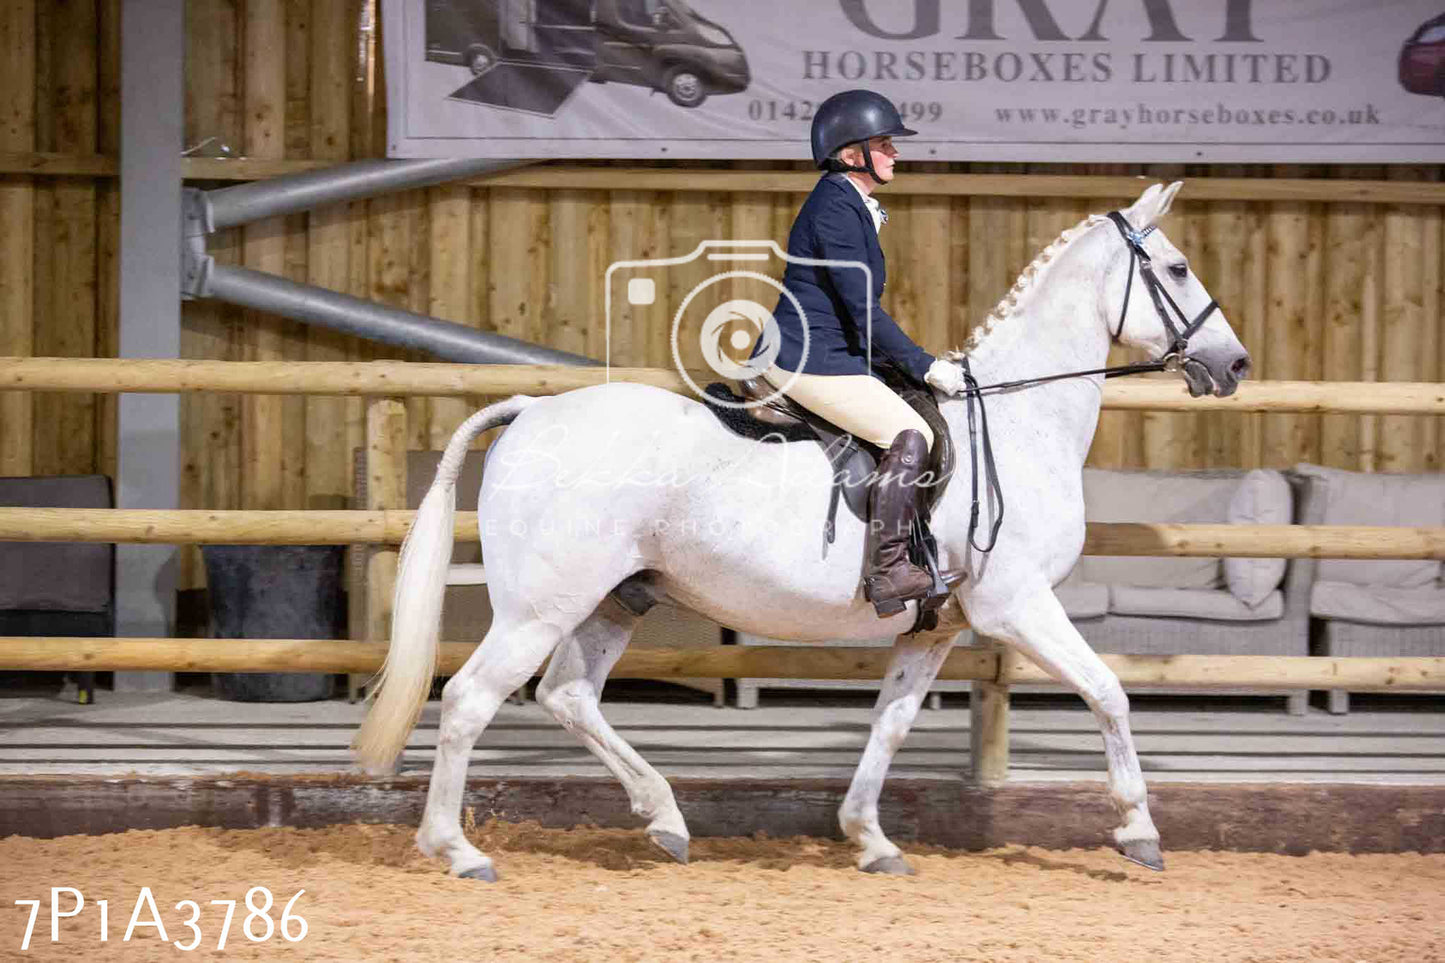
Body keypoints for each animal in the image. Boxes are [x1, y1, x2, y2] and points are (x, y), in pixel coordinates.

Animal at [355, 180, 1248, 879]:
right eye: (1176, 267)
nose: (1234, 365)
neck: (1017, 415)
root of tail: (531, 410)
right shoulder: (1016, 605)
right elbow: (1107, 690)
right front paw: (1138, 829)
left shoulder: (938, 623)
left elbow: (890, 722)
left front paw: (870, 838)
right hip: (540, 607)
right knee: (470, 699)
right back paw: (458, 849)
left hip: (618, 595)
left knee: (568, 695)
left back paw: (664, 818)